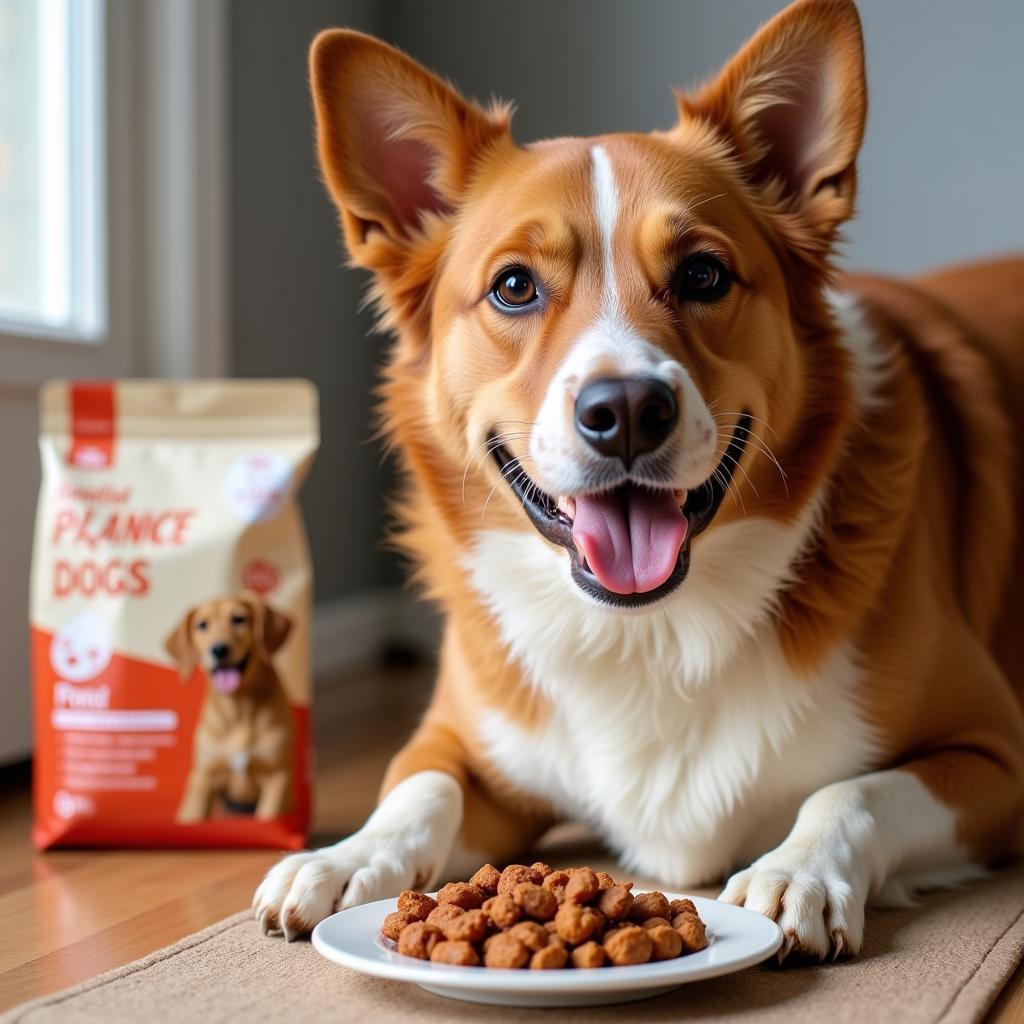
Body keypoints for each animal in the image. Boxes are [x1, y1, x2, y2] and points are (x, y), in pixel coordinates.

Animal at [167, 593, 294, 823]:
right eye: (202, 625)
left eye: (239, 619)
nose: (219, 649)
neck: (239, 708)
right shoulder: (203, 778)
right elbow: (193, 814)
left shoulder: (276, 778)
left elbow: (268, 815)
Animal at [249, 0, 1024, 958]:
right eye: (514, 287)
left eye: (703, 274)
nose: (624, 411)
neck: (646, 632)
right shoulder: (461, 745)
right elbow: (416, 789)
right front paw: (344, 856)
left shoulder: (995, 753)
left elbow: (853, 791)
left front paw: (797, 869)